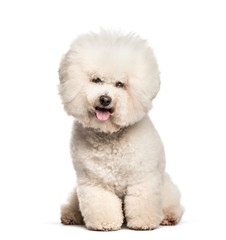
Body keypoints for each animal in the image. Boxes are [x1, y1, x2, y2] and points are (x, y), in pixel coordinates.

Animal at [58, 30, 184, 231]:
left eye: (120, 84)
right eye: (96, 80)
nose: (105, 99)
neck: (110, 136)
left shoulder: (142, 178)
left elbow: (142, 201)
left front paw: (143, 223)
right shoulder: (94, 182)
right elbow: (102, 204)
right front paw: (105, 223)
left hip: (166, 187)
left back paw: (169, 217)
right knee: (72, 204)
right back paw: (70, 216)